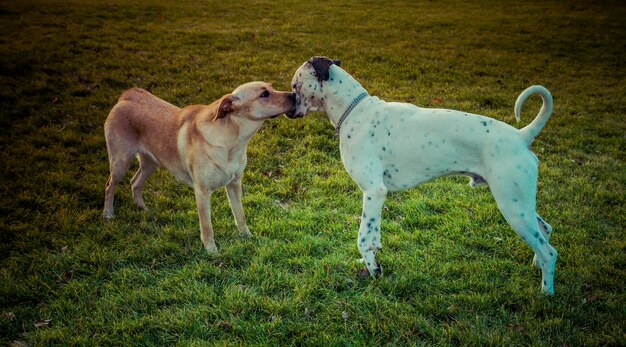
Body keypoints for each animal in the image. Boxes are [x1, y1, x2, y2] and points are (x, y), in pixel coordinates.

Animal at [103, 82, 294, 254]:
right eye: (264, 94)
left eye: (272, 87)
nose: (293, 94)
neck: (232, 141)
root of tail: (128, 95)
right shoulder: (202, 191)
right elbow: (207, 226)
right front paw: (211, 251)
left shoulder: (234, 184)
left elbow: (240, 215)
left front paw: (247, 236)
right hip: (120, 161)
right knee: (110, 186)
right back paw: (108, 213)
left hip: (152, 163)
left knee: (135, 182)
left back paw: (143, 208)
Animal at [288, 57, 556, 296]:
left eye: (294, 86)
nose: (288, 108)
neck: (355, 111)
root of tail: (521, 136)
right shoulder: (376, 197)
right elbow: (374, 236)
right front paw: (369, 263)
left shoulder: (374, 192)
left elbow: (363, 237)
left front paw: (374, 270)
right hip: (520, 204)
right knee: (545, 230)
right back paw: (537, 266)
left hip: (512, 207)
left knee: (549, 251)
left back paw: (546, 293)